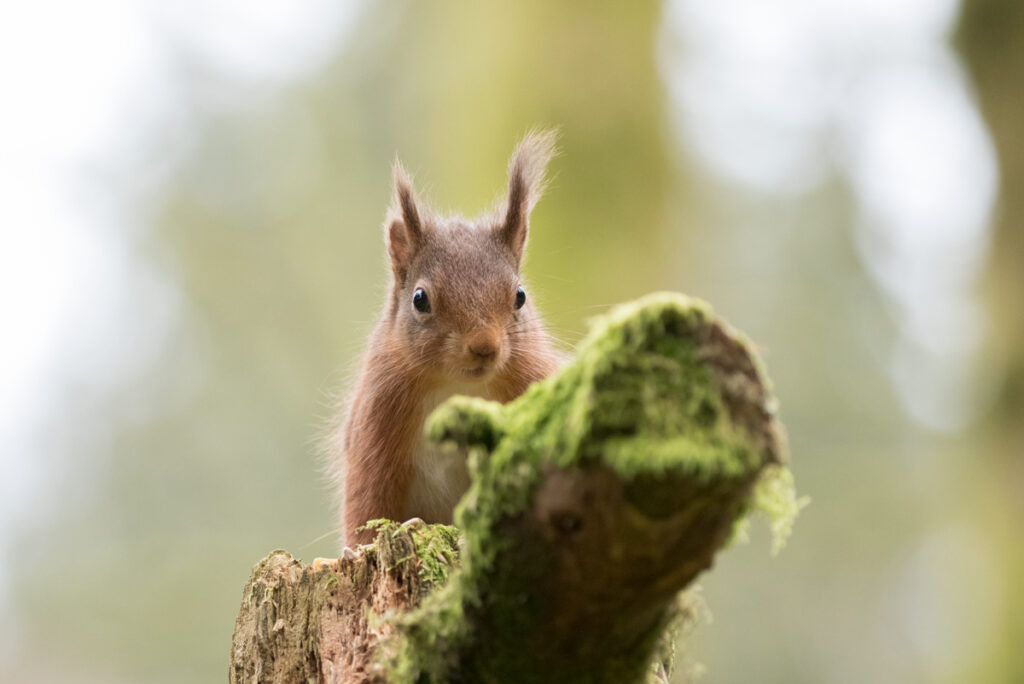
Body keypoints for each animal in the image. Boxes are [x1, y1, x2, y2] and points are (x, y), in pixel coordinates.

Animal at [331, 131, 562, 547]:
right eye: (420, 299)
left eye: (520, 296)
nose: (485, 347)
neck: (458, 386)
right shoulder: (376, 428)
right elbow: (367, 505)